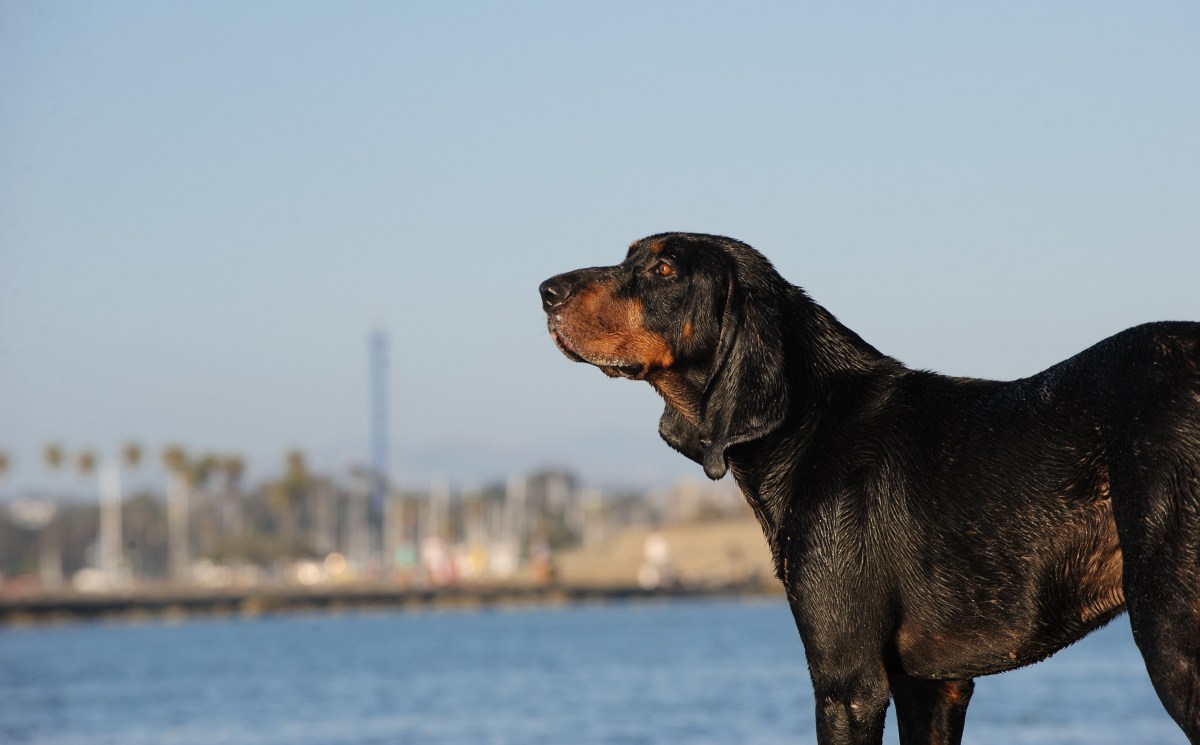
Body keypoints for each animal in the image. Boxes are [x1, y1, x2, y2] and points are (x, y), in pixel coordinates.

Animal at [544, 229, 1200, 739]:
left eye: (663, 269)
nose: (546, 291)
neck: (812, 421)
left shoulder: (847, 683)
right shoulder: (932, 686)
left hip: (1172, 635)